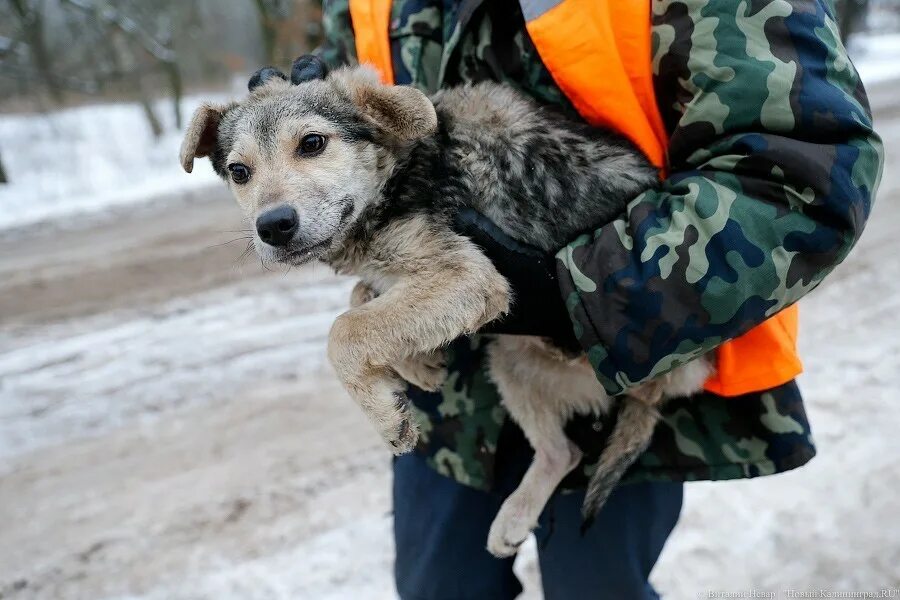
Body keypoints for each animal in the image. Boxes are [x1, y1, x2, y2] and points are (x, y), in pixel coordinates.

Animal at [179, 58, 712, 556]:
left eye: (312, 143)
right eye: (239, 172)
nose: (273, 226)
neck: (399, 169)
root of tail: (663, 388)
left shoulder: (470, 275)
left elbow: (344, 331)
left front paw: (385, 413)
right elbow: (363, 301)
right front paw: (418, 366)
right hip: (511, 361)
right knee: (563, 452)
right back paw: (515, 516)